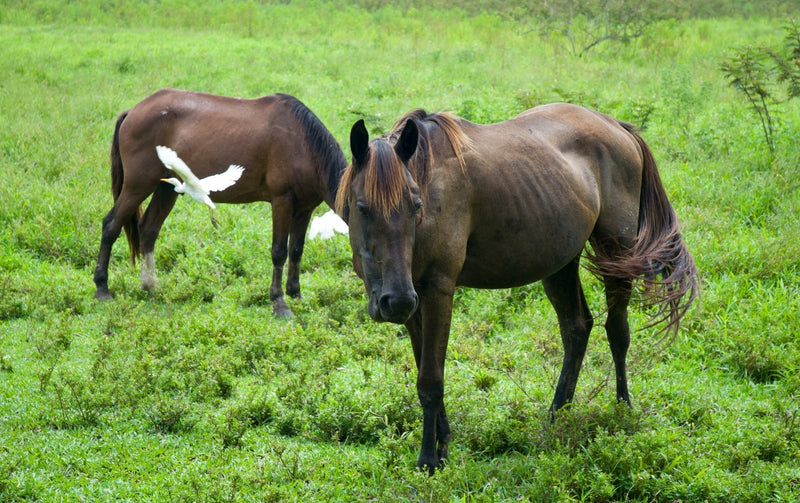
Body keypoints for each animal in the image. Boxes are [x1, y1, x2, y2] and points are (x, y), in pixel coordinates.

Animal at [93, 89, 348, 317]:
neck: (302, 143)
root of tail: (133, 111)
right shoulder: (282, 202)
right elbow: (279, 252)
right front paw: (279, 302)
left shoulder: (304, 209)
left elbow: (296, 251)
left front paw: (296, 294)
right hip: (137, 185)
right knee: (111, 225)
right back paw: (102, 288)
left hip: (167, 187)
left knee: (148, 230)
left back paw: (151, 286)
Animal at [335, 103, 698, 473]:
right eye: (363, 208)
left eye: (415, 206)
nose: (393, 302)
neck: (430, 183)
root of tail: (618, 127)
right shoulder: (414, 301)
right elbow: (426, 368)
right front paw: (442, 443)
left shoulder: (437, 290)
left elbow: (431, 381)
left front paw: (428, 460)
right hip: (560, 264)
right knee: (577, 328)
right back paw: (557, 416)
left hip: (617, 253)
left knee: (617, 331)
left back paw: (622, 408)